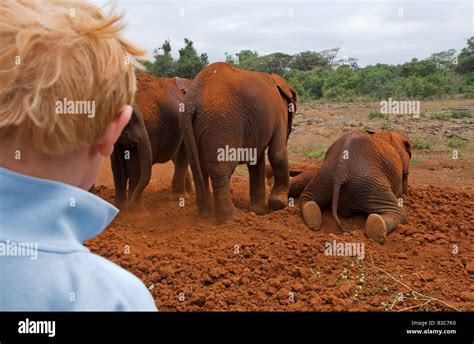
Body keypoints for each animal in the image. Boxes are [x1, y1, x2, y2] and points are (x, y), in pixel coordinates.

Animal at [181, 62, 296, 222]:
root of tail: (192, 100)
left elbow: (256, 160)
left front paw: (261, 211)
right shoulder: (279, 113)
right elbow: (277, 153)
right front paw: (278, 205)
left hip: (191, 127)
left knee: (198, 167)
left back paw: (206, 215)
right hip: (222, 124)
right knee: (220, 170)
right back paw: (233, 218)